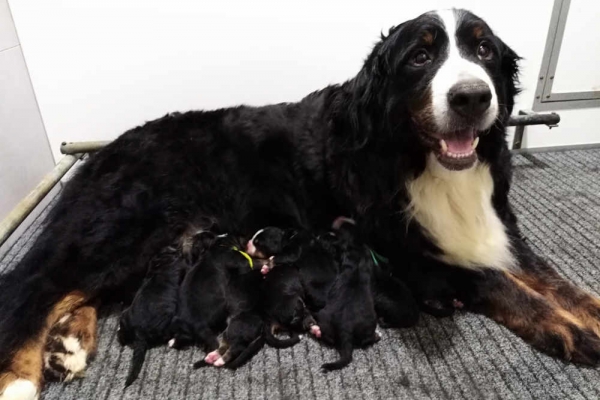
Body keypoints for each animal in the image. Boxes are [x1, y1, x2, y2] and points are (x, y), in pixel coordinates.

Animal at [116, 245, 184, 386]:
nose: (175, 246)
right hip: (166, 325)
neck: (161, 263)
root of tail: (139, 333)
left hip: (125, 317)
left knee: (122, 333)